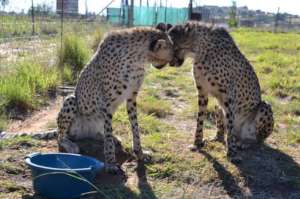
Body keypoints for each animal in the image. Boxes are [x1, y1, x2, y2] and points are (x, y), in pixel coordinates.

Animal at [56, 26, 173, 173]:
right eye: (172, 53)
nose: (174, 61)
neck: (138, 58)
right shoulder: (107, 103)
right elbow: (109, 133)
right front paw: (111, 163)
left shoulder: (131, 98)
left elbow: (135, 127)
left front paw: (139, 153)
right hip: (70, 100)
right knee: (60, 136)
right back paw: (71, 145)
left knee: (100, 134)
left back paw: (111, 138)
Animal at [168, 21, 274, 162]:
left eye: (174, 48)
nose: (171, 63)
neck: (201, 51)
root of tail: (240, 134)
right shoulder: (203, 92)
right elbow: (200, 119)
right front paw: (197, 143)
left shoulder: (228, 97)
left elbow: (229, 124)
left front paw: (232, 153)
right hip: (217, 105)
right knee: (223, 128)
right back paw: (217, 138)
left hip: (264, 107)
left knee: (258, 140)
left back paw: (245, 142)